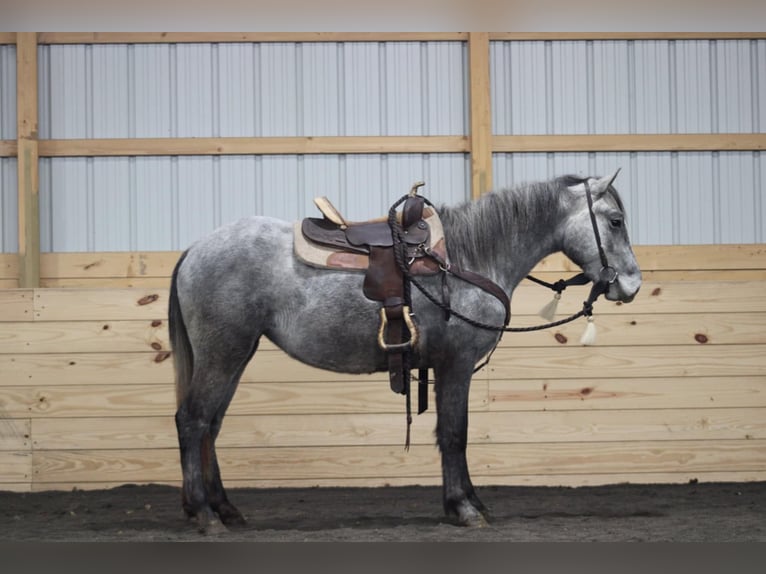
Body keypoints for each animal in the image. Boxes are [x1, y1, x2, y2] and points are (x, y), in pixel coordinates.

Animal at [168, 172, 640, 536]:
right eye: (615, 221)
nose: (631, 285)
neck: (469, 257)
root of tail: (195, 249)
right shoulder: (456, 364)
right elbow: (454, 434)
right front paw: (464, 508)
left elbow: (452, 434)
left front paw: (471, 502)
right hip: (223, 352)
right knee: (193, 420)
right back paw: (206, 514)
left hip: (236, 353)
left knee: (211, 425)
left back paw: (225, 509)